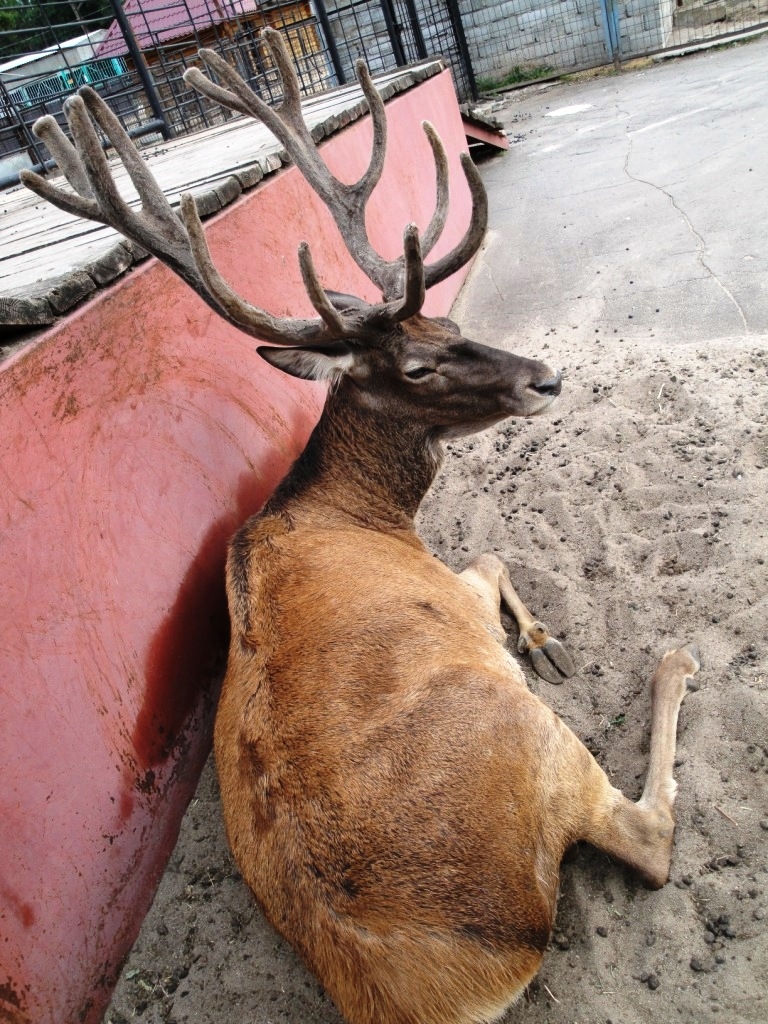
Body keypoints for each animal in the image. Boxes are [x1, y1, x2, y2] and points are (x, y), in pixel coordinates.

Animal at [20, 29, 700, 1024]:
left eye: (450, 319)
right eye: (416, 366)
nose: (546, 377)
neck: (360, 508)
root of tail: (421, 991)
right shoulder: (446, 578)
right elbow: (492, 551)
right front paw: (549, 641)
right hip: (533, 737)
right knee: (646, 835)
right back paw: (672, 661)